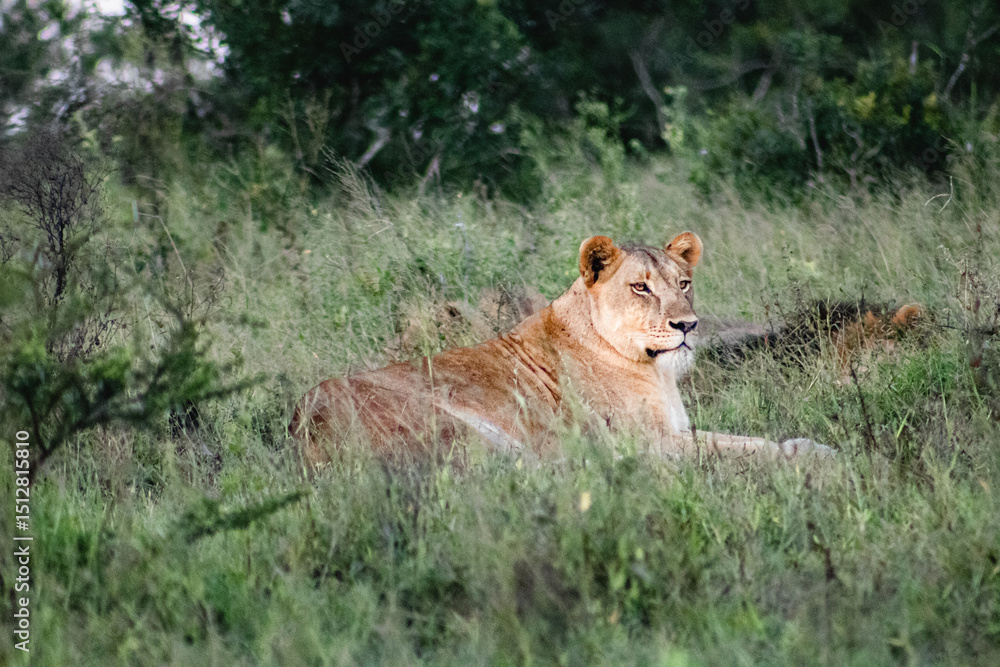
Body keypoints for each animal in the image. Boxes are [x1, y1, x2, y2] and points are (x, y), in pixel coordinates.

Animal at [290, 232, 832, 467]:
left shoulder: (674, 430)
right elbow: (739, 446)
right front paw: (813, 454)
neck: (654, 371)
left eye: (683, 283)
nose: (688, 325)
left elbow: (737, 437)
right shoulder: (649, 441)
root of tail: (300, 426)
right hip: (466, 430)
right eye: (641, 288)